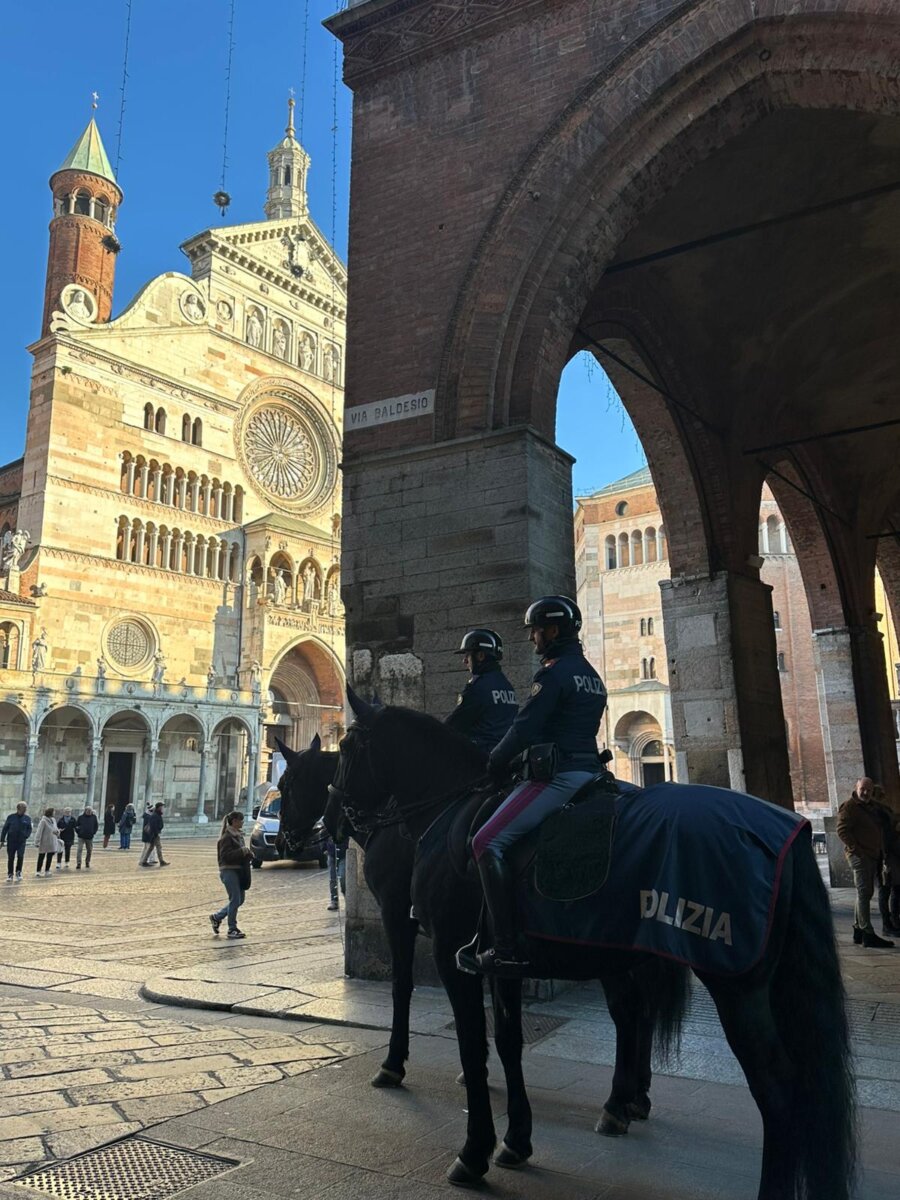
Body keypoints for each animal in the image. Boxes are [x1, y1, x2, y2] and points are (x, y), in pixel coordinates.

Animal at [332, 691, 857, 1200]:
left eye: (346, 748)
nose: (334, 821)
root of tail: (785, 833)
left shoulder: (446, 952)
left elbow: (467, 1045)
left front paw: (471, 1151)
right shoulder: (499, 963)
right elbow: (508, 1042)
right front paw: (516, 1141)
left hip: (733, 980)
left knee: (777, 1091)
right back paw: (625, 1104)